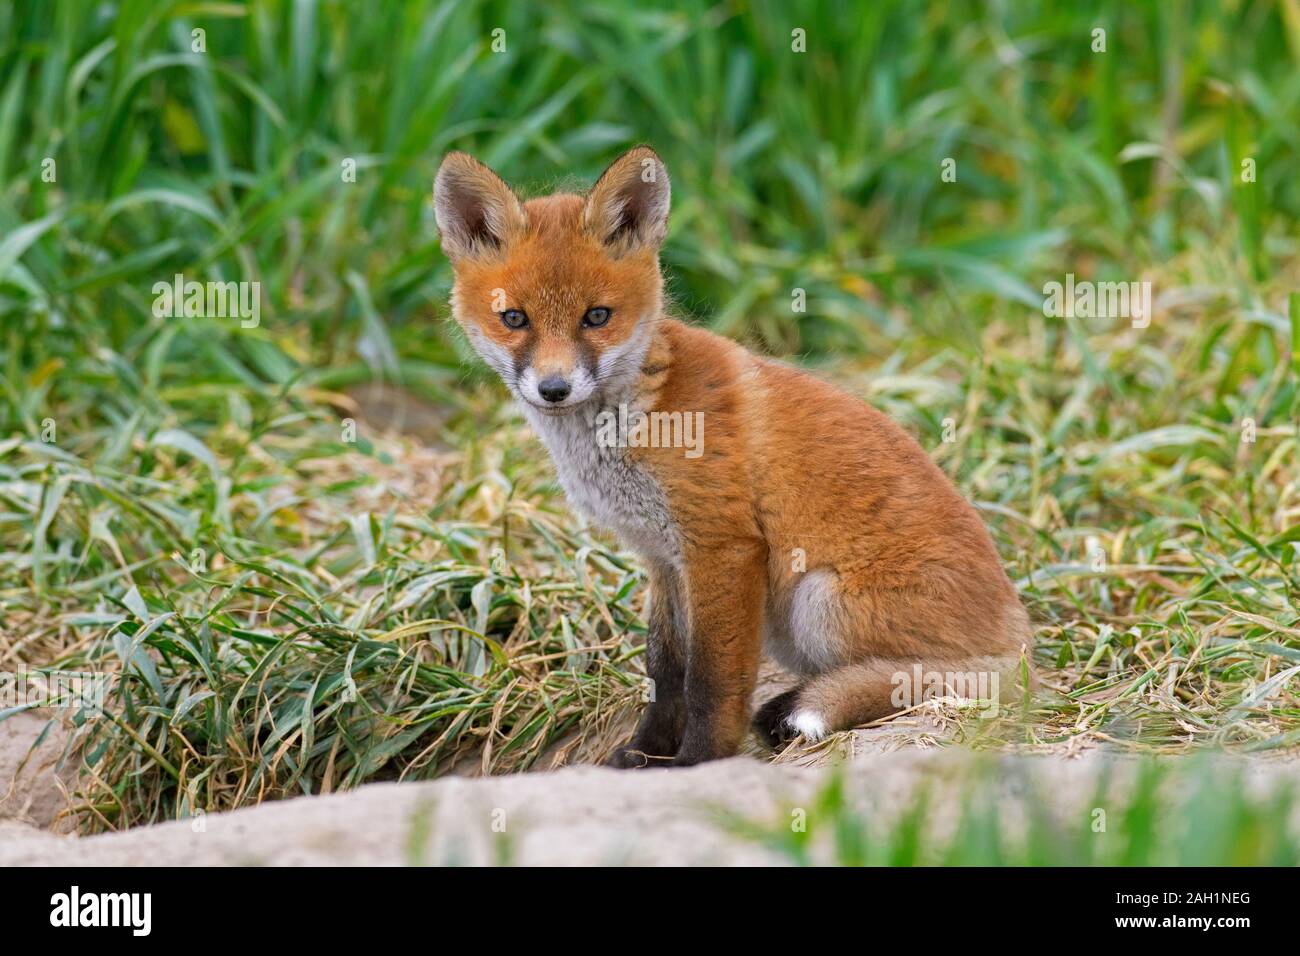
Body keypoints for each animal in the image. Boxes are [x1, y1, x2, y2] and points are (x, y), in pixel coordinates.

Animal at [434, 145, 1033, 768]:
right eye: (515, 318)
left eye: (596, 317)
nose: (553, 389)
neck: (641, 414)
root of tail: (1023, 635)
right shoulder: (663, 559)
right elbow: (664, 671)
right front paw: (644, 754)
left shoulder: (723, 548)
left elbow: (711, 679)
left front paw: (698, 760)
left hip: (819, 601)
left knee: (931, 677)